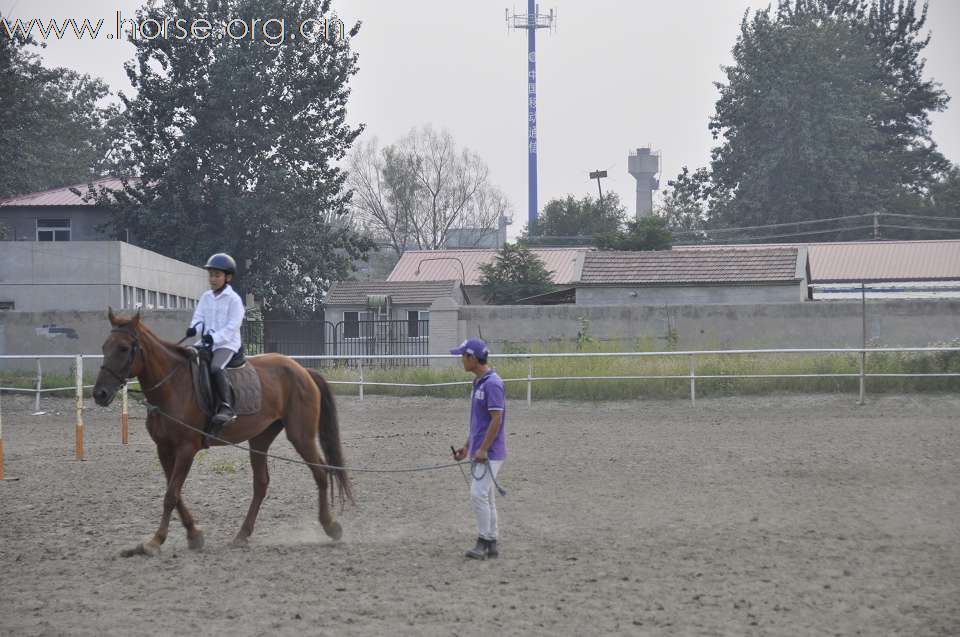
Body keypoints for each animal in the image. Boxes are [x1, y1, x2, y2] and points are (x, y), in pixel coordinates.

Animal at [91, 310, 348, 556]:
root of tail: (302, 369)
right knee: (261, 483)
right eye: (104, 347)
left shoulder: (186, 449)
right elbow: (175, 493)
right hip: (260, 439)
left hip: (300, 436)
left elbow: (171, 495)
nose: (99, 394)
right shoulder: (164, 449)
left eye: (124, 349)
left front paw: (155, 542)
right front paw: (194, 535)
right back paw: (242, 535)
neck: (172, 387)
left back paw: (330, 526)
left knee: (321, 472)